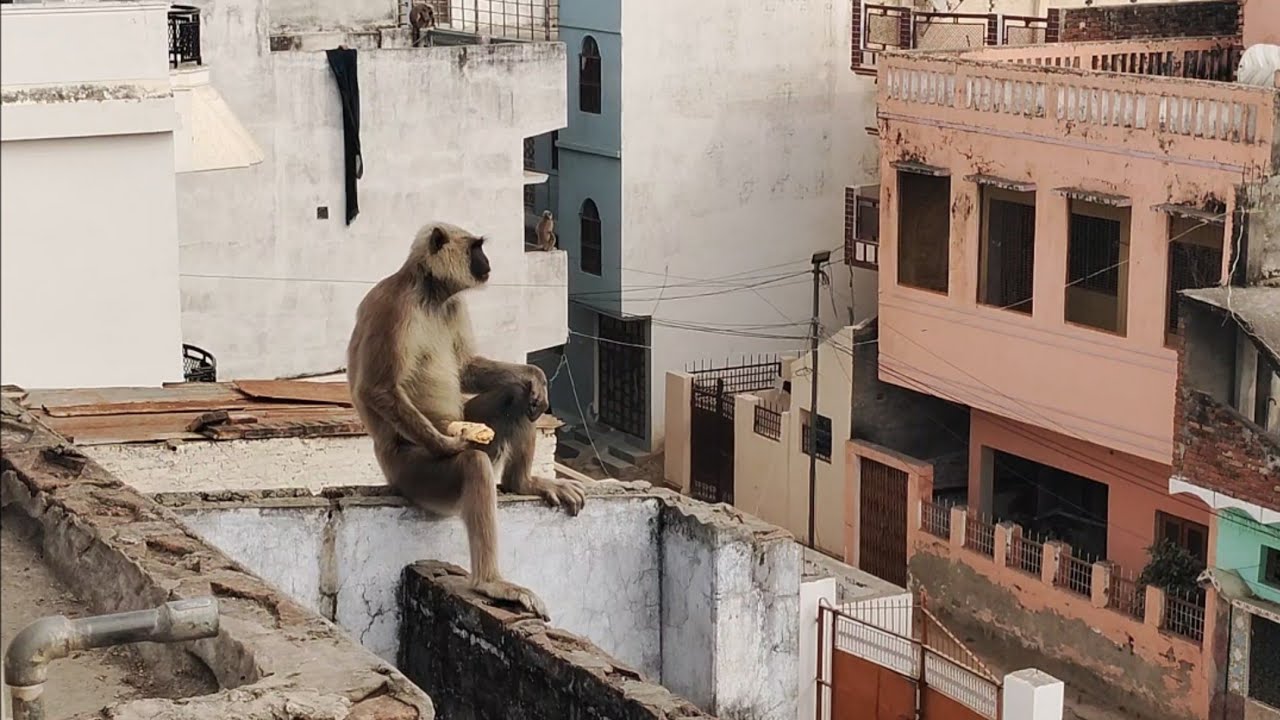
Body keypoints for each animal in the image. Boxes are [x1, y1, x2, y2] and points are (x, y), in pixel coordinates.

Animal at [346, 221, 586, 619]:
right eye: (476, 248)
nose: (486, 262)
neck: (428, 293)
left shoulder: (452, 303)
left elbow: (467, 369)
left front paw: (535, 375)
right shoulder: (394, 306)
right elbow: (376, 389)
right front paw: (449, 443)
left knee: (519, 398)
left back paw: (522, 482)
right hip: (413, 474)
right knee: (474, 464)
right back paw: (490, 582)